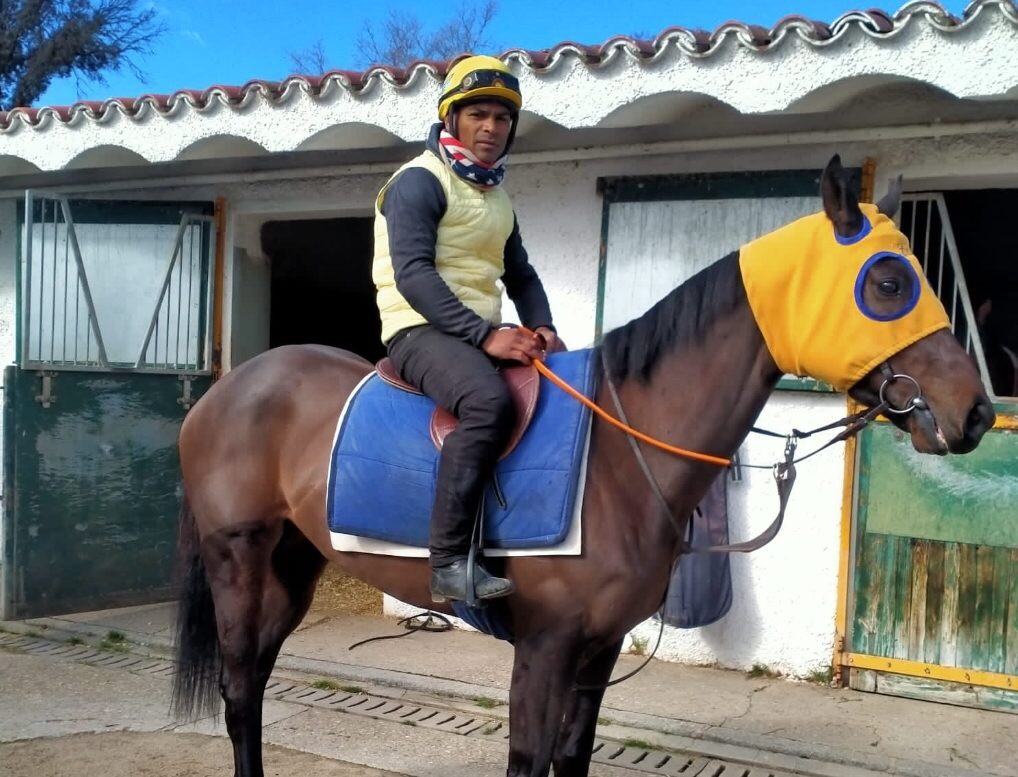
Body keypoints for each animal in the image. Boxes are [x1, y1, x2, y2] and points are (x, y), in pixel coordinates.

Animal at [171, 156, 994, 777]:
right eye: (888, 282)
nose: (978, 414)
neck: (620, 458)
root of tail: (227, 390)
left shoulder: (596, 650)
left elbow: (572, 759)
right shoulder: (545, 648)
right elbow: (531, 761)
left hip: (294, 563)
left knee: (255, 683)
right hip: (238, 559)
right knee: (239, 689)